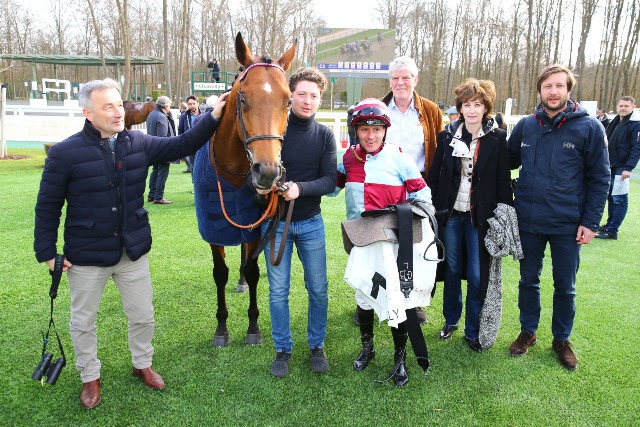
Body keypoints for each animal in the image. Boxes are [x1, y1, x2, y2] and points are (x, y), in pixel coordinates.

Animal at [193, 32, 296, 347]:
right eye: (242, 97)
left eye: (288, 100)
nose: (268, 172)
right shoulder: (213, 226)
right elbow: (219, 272)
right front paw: (221, 328)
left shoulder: (253, 223)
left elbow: (252, 269)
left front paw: (253, 326)